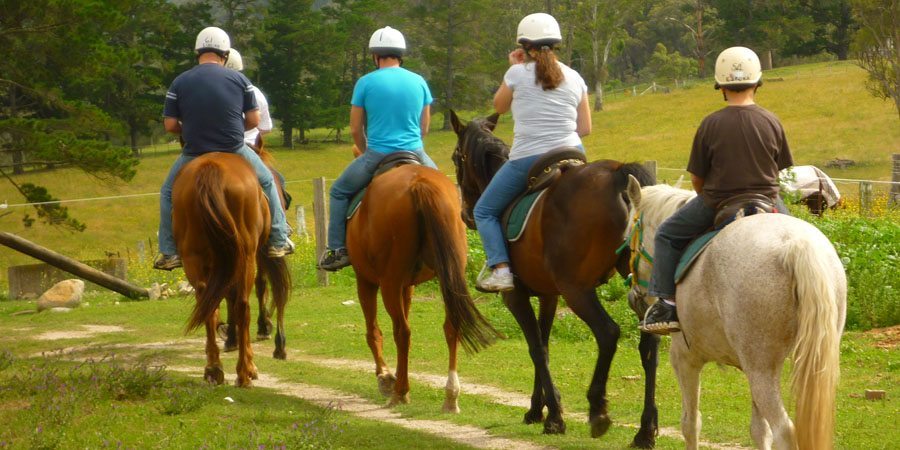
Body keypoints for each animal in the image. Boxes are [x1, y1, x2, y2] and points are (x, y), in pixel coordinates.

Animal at [173, 151, 290, 386]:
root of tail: (210, 170)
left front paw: (231, 338)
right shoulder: (263, 253)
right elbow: (269, 288)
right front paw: (272, 337)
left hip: (195, 258)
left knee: (208, 304)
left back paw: (213, 368)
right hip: (246, 256)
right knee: (243, 304)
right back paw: (245, 371)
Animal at [345, 161, 500, 411]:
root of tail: (420, 183)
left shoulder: (366, 280)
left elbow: (373, 331)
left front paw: (385, 376)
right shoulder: (407, 286)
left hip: (389, 282)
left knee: (402, 331)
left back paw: (399, 392)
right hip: (448, 275)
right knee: (451, 326)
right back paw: (451, 396)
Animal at [450, 111, 660, 448]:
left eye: (457, 157)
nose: (466, 214)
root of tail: (618, 174)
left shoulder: (516, 296)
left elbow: (536, 348)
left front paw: (555, 416)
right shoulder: (549, 295)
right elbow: (544, 345)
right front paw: (539, 410)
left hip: (577, 289)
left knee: (608, 333)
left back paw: (598, 409)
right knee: (650, 345)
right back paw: (645, 430)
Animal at [622, 176, 846, 449]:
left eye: (628, 239)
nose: (634, 298)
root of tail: (794, 244)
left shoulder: (685, 358)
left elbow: (690, 423)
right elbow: (759, 430)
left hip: (760, 369)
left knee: (784, 430)